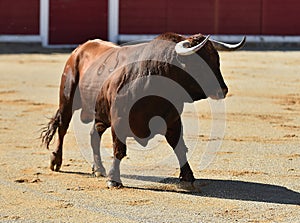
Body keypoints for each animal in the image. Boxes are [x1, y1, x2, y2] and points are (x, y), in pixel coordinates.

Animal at [41, 31, 245, 188]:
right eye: (198, 63)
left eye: (216, 59)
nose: (223, 90)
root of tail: (81, 48)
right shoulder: (119, 121)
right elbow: (119, 151)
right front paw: (114, 180)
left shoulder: (173, 120)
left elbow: (179, 147)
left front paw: (188, 175)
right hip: (67, 99)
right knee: (63, 128)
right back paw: (56, 161)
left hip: (100, 113)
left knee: (93, 135)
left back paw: (98, 168)